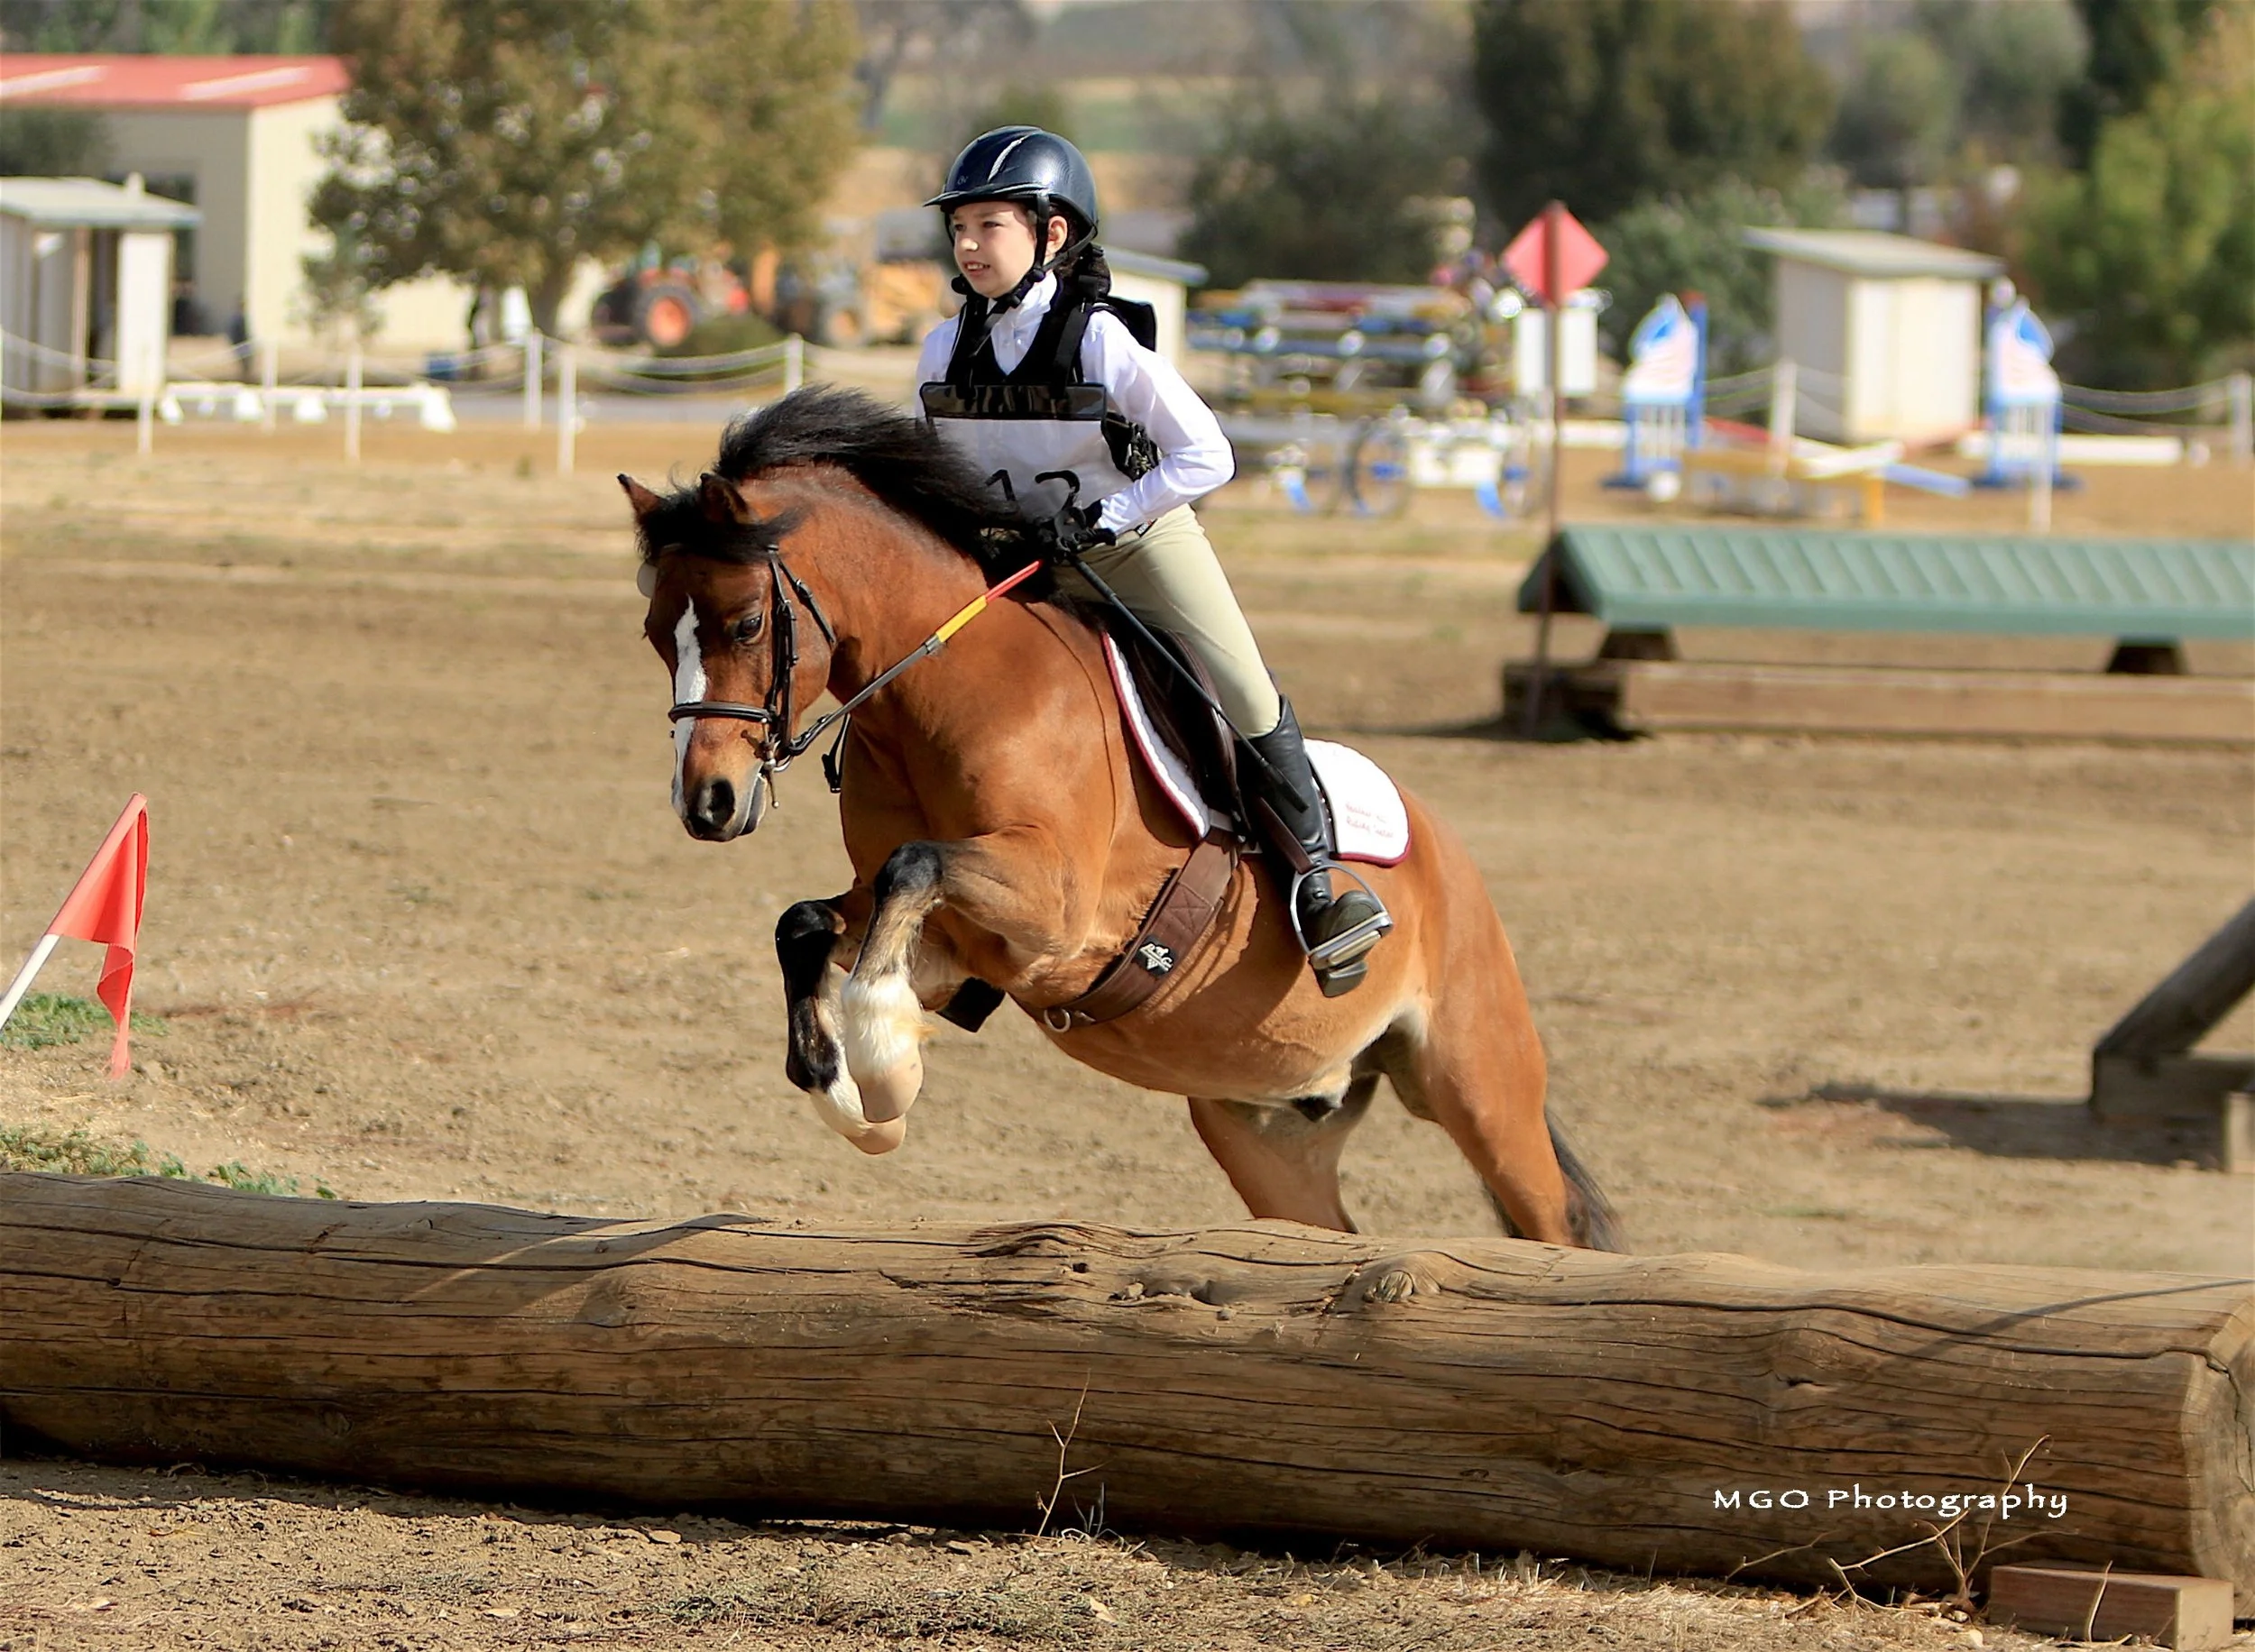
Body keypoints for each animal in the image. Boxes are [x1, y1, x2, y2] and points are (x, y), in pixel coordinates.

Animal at [621, 386, 1618, 1248]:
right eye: (654, 633)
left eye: (747, 624)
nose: (706, 802)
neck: (937, 696)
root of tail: (1451, 860)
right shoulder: (955, 939)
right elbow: (808, 922)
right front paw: (852, 1094)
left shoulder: (1054, 910)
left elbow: (912, 868)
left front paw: (885, 1062)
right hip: (1267, 1127)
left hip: (1480, 1086)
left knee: (1552, 1219)